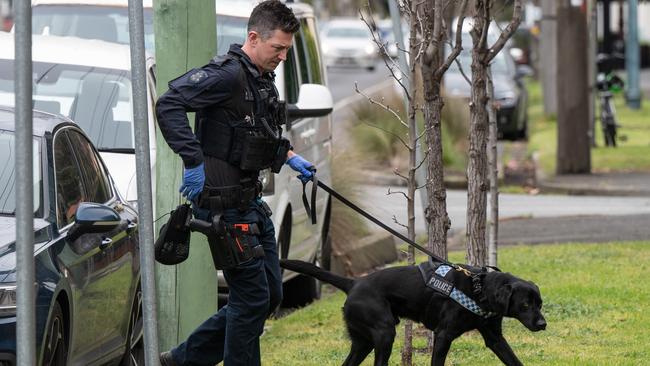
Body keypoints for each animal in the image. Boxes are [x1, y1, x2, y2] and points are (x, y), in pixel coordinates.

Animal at [280, 258, 544, 366]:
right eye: (525, 305)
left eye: (540, 304)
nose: (543, 325)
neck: (479, 288)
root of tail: (354, 282)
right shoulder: (443, 335)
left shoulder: (494, 338)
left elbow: (513, 360)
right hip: (384, 333)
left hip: (363, 342)